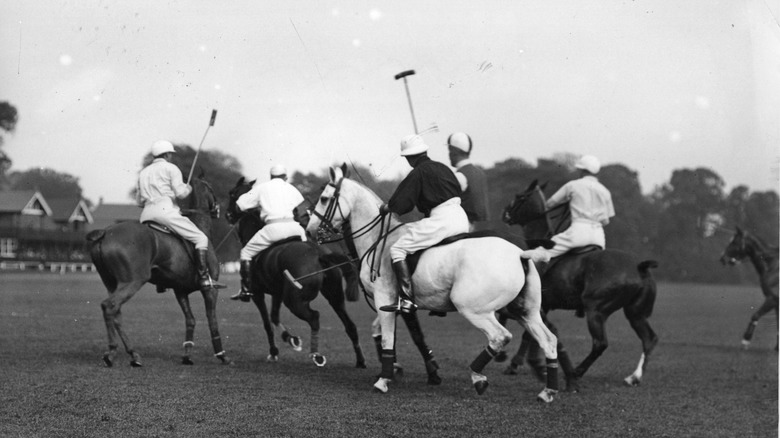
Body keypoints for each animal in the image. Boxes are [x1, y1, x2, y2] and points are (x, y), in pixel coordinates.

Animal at [87, 177, 232, 366]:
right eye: (211, 188)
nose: (218, 210)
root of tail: (105, 232)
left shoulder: (180, 291)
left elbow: (190, 320)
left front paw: (187, 355)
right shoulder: (210, 290)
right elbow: (211, 320)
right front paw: (222, 355)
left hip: (111, 283)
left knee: (116, 312)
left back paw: (133, 354)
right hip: (133, 281)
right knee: (109, 306)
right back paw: (112, 352)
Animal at [227, 176, 368, 368]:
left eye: (232, 194)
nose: (227, 214)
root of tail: (318, 254)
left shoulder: (257, 293)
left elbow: (267, 323)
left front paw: (275, 351)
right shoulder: (277, 293)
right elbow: (274, 316)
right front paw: (290, 339)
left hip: (294, 300)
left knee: (314, 317)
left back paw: (316, 355)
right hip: (334, 295)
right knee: (350, 325)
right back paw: (360, 360)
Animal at [306, 165, 560, 404]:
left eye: (324, 198)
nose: (310, 230)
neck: (378, 240)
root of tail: (520, 253)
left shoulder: (384, 298)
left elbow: (390, 336)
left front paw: (384, 379)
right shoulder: (393, 304)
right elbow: (384, 332)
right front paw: (395, 369)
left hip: (473, 308)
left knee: (500, 336)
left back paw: (478, 376)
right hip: (525, 311)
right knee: (548, 339)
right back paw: (547, 391)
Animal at [502, 181, 660, 390]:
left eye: (520, 196)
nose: (505, 214)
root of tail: (640, 267)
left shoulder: (536, 304)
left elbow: (528, 332)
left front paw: (516, 364)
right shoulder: (545, 305)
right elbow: (531, 334)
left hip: (596, 309)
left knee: (600, 343)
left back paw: (577, 372)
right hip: (635, 312)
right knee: (649, 339)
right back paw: (633, 377)